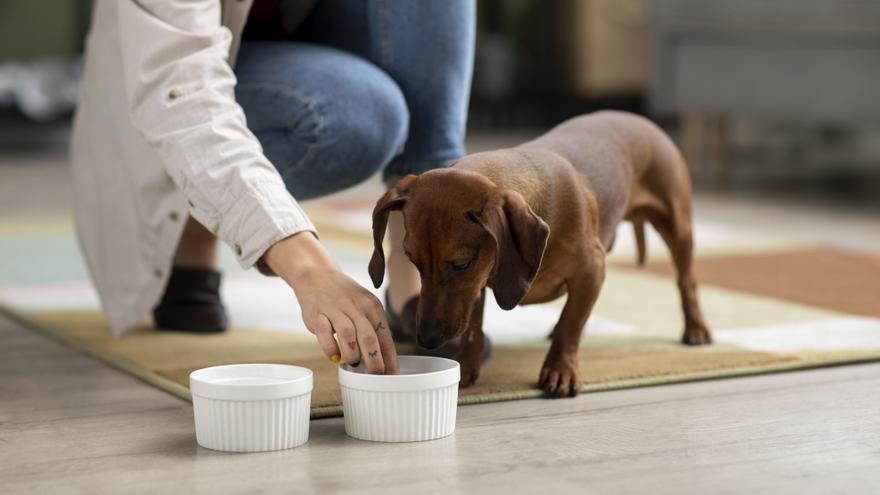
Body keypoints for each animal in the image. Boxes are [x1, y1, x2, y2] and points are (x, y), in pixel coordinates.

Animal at [368, 111, 712, 400]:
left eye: (461, 264)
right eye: (412, 260)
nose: (426, 339)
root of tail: (638, 117)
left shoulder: (592, 270)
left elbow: (569, 326)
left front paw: (561, 369)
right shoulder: (479, 285)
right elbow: (474, 329)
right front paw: (465, 364)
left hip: (678, 226)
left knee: (686, 281)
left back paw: (696, 328)